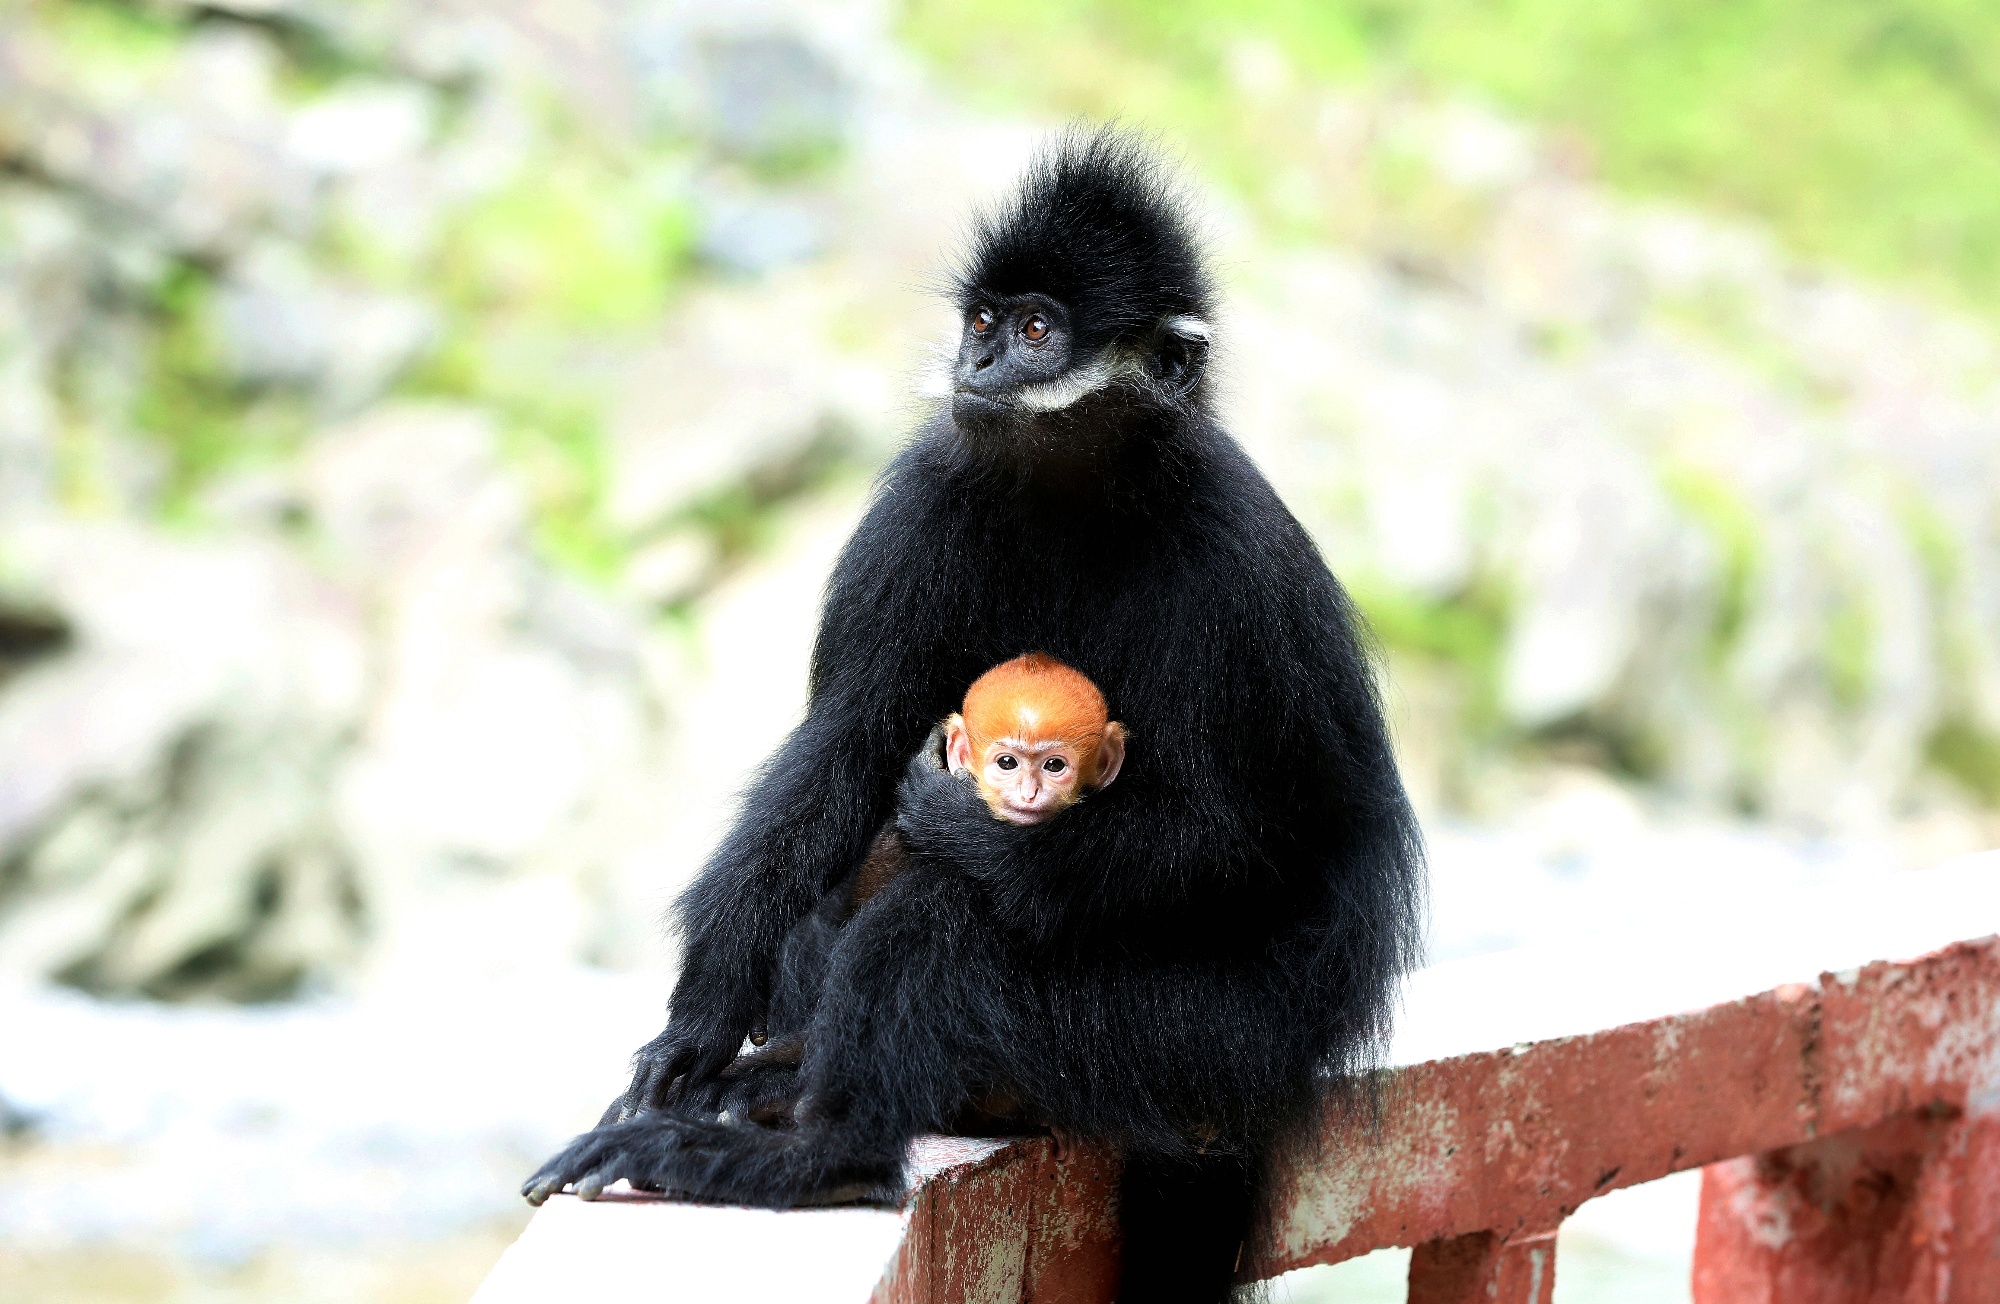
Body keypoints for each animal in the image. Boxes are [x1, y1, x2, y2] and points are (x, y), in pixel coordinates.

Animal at [523, 128, 1423, 1304]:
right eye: (984, 323)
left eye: (1037, 331)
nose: (977, 367)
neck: (1080, 501)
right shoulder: (930, 492)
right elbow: (848, 745)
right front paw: (697, 1026)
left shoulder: (1235, 564)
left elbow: (1237, 841)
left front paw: (960, 827)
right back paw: (775, 1086)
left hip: (1196, 1045)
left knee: (948, 919)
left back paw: (823, 1157)